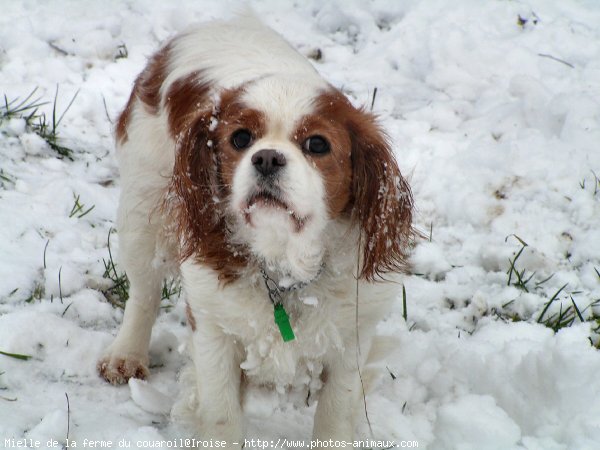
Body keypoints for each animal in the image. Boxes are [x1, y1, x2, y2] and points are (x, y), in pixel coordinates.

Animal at [98, 16, 414, 446]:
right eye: (241, 138)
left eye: (317, 144)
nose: (266, 158)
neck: (283, 261)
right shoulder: (213, 328)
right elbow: (221, 417)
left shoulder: (351, 338)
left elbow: (335, 414)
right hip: (142, 214)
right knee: (143, 293)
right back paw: (126, 355)